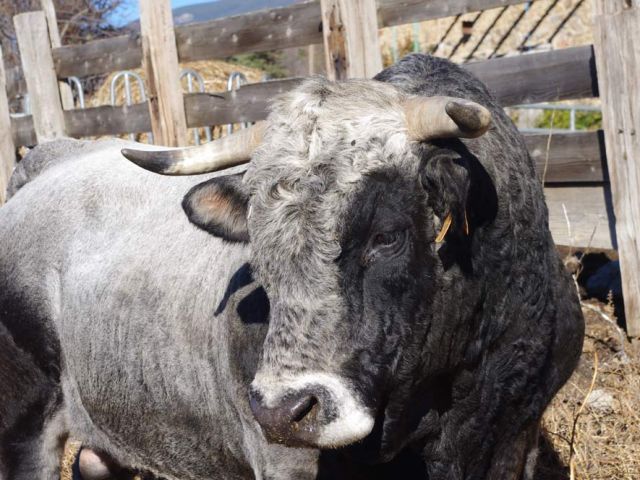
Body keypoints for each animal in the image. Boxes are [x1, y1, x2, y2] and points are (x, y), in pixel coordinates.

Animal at [0, 54, 584, 478]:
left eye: (387, 236)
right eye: (259, 251)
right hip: (24, 420)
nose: (283, 411)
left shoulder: (516, 438)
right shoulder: (286, 458)